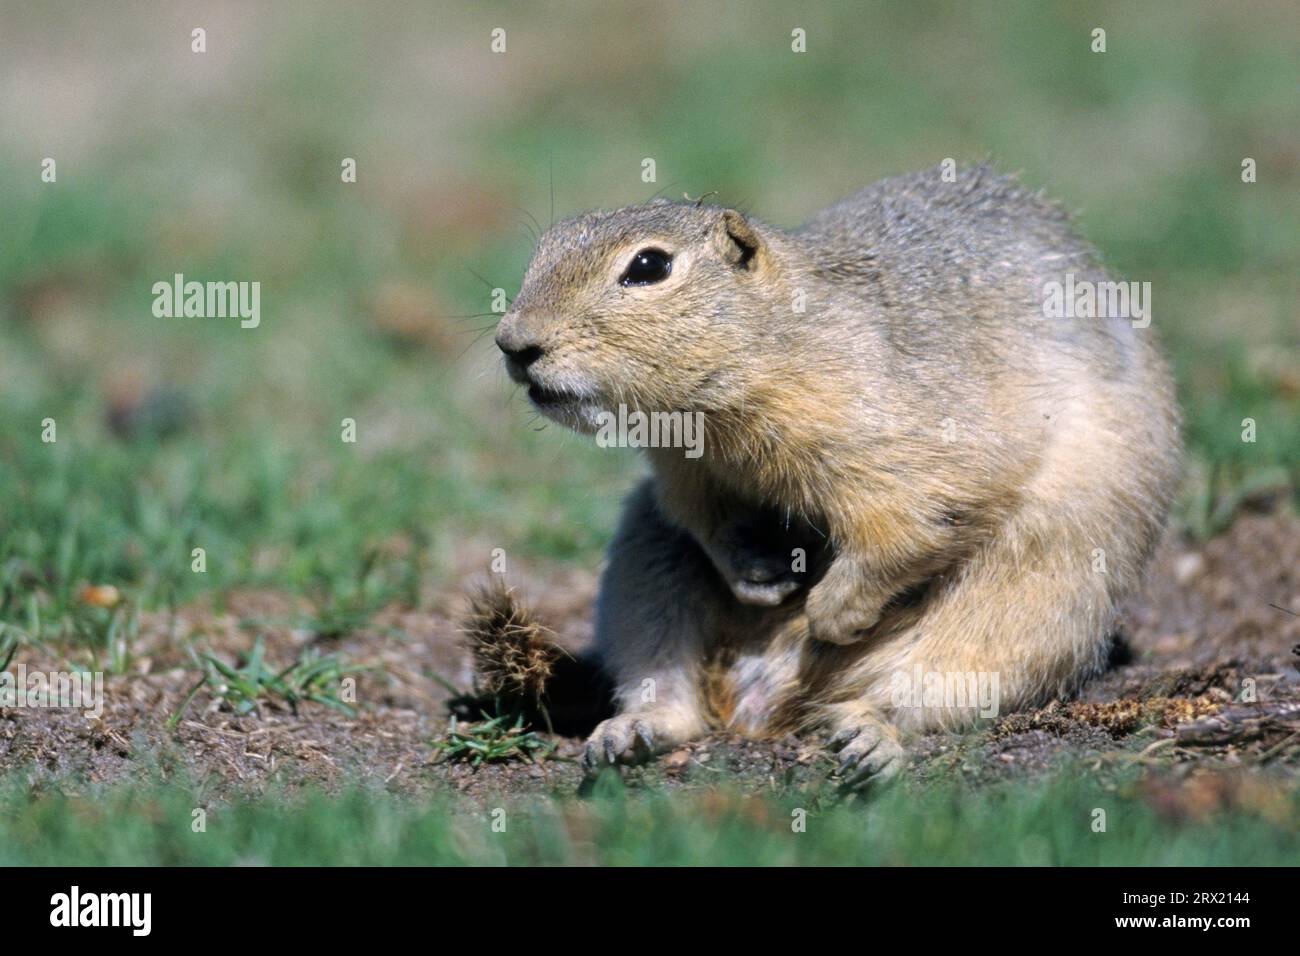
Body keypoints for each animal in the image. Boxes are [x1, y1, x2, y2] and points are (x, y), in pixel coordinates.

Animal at [493, 164, 1180, 790]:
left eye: (648, 266)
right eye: (550, 241)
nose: (512, 342)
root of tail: (761, 703)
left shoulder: (913, 436)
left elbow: (919, 518)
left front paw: (827, 614)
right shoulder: (683, 473)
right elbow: (707, 520)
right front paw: (760, 577)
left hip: (1025, 620)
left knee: (908, 696)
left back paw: (868, 740)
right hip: (644, 571)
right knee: (675, 698)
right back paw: (630, 733)